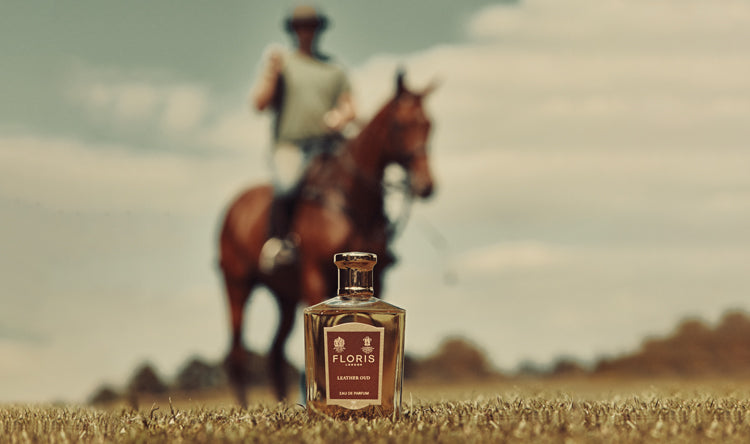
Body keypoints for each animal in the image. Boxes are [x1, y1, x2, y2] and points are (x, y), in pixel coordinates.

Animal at [220, 72, 438, 406]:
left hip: (284, 296)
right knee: (237, 353)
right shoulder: (313, 274)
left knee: (274, 351)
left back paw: (283, 402)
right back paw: (244, 404)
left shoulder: (380, 277)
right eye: (400, 124)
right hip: (237, 284)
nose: (426, 185)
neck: (352, 200)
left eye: (430, 124)